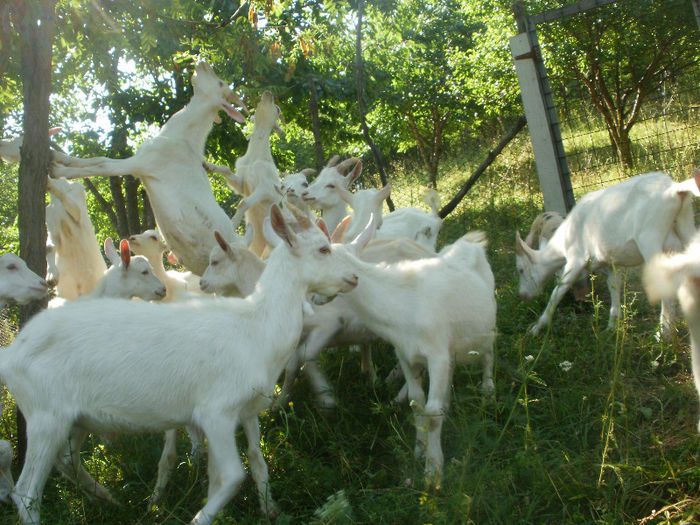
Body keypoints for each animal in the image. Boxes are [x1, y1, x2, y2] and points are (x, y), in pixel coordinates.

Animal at [0, 206, 358, 524]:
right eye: (323, 249)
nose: (354, 277)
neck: (256, 328)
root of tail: (13, 353)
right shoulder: (215, 410)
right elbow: (231, 476)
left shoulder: (247, 410)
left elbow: (252, 464)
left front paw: (271, 510)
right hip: (45, 416)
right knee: (26, 491)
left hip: (71, 420)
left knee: (62, 465)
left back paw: (107, 498)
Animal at [50, 62, 246, 274]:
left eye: (220, 83)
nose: (203, 64)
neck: (180, 137)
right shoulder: (141, 161)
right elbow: (98, 159)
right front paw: (59, 158)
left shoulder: (143, 163)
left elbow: (102, 165)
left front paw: (58, 171)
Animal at [512, 172, 696, 336]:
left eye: (520, 269)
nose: (523, 296)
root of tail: (674, 189)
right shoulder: (613, 263)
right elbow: (613, 286)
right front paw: (612, 327)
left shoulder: (576, 258)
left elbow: (558, 291)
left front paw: (535, 328)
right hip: (686, 226)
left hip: (650, 237)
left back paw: (663, 334)